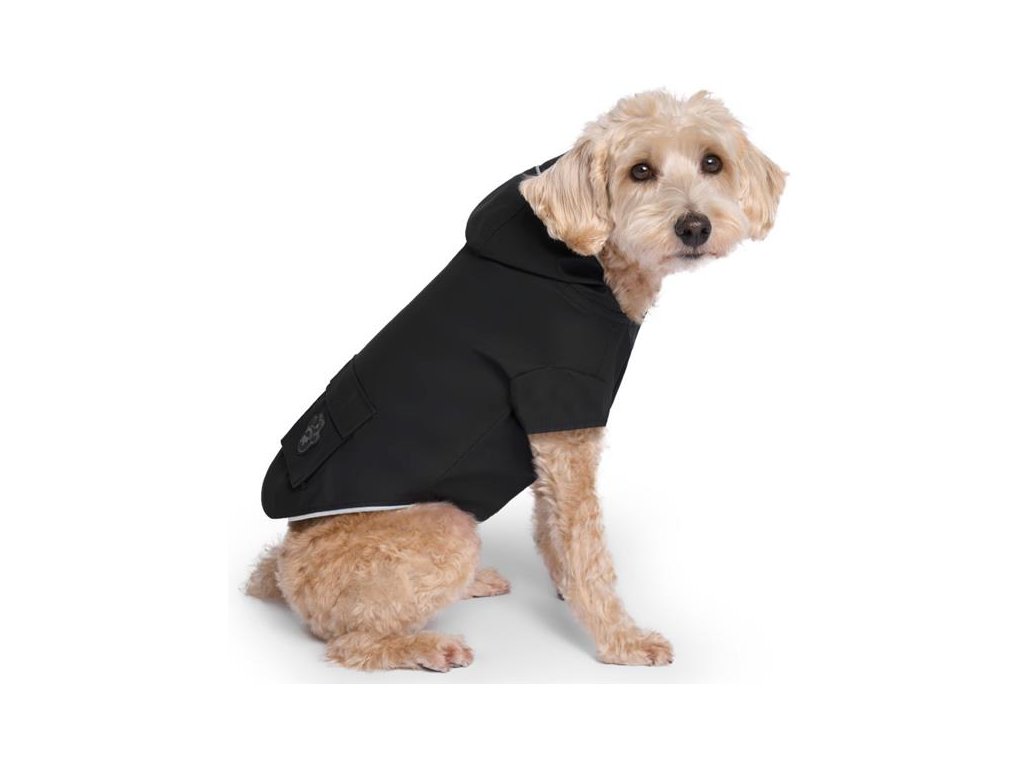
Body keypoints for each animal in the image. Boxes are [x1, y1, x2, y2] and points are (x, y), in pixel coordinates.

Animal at [246, 89, 785, 671]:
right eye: (639, 170)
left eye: (713, 161)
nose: (694, 227)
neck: (585, 262)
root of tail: (282, 571)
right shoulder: (563, 413)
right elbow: (587, 547)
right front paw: (622, 641)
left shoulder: (553, 447)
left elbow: (554, 531)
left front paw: (568, 594)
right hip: (446, 528)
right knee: (351, 644)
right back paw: (427, 647)